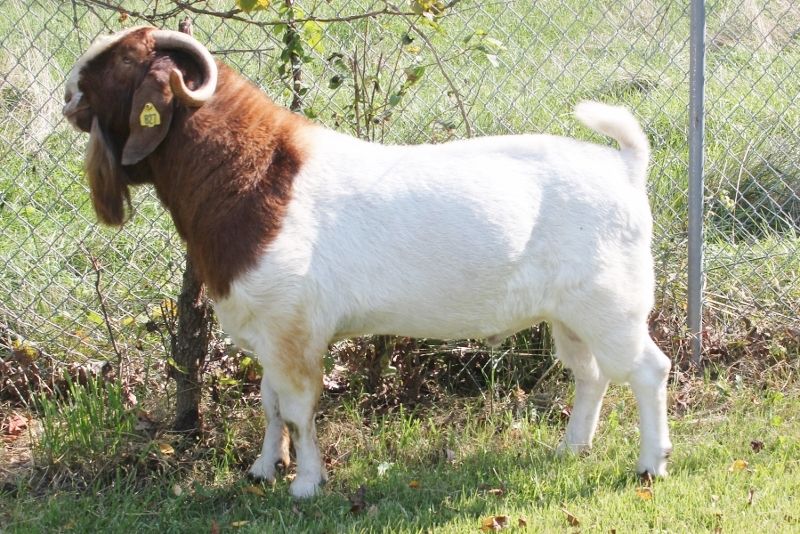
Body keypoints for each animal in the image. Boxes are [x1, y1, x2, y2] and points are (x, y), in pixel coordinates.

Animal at [62, 26, 673, 498]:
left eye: (121, 61)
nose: (68, 97)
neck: (255, 175)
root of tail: (626, 167)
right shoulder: (267, 332)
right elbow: (268, 404)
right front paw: (262, 470)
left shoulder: (293, 333)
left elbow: (297, 408)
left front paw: (306, 485)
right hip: (570, 317)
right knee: (590, 374)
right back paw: (572, 448)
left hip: (613, 307)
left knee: (648, 369)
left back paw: (649, 464)